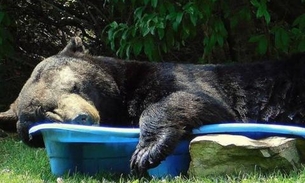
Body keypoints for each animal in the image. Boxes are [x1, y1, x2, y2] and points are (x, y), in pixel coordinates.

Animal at [0, 36, 304, 175]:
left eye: (74, 85)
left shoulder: (179, 78)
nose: (81, 118)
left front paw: (146, 152)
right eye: (46, 112)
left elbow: (199, 100)